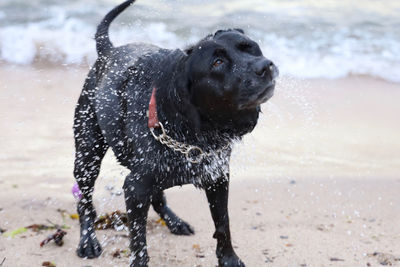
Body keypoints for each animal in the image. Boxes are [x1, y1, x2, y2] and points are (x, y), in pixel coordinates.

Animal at [72, 0, 278, 266]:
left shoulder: (218, 177)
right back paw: (88, 240)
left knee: (158, 197)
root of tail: (109, 51)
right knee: (85, 201)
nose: (265, 66)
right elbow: (138, 242)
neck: (195, 133)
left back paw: (174, 221)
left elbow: (223, 223)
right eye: (217, 63)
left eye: (250, 48)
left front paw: (229, 259)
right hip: (87, 154)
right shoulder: (135, 187)